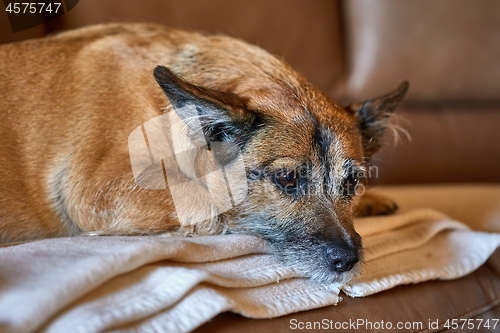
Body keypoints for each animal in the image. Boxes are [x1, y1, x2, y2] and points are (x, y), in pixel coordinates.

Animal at [0, 23, 406, 282]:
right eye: (286, 179)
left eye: (352, 183)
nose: (348, 261)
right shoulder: (98, 190)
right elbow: (206, 197)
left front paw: (375, 200)